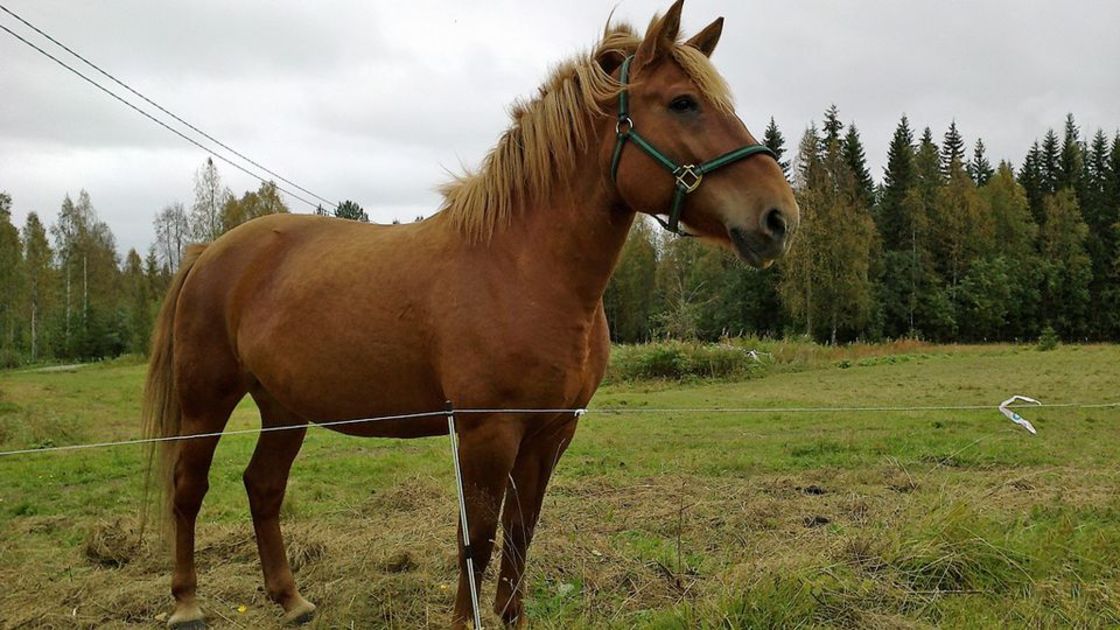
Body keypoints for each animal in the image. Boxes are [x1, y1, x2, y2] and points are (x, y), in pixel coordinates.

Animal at [144, 2, 801, 623]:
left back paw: (292, 600)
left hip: (284, 407)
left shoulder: (551, 433)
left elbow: (520, 535)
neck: (521, 268)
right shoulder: (487, 432)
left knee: (263, 486)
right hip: (207, 403)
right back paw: (187, 604)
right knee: (188, 489)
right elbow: (477, 541)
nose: (779, 219)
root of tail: (209, 252)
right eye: (683, 103)